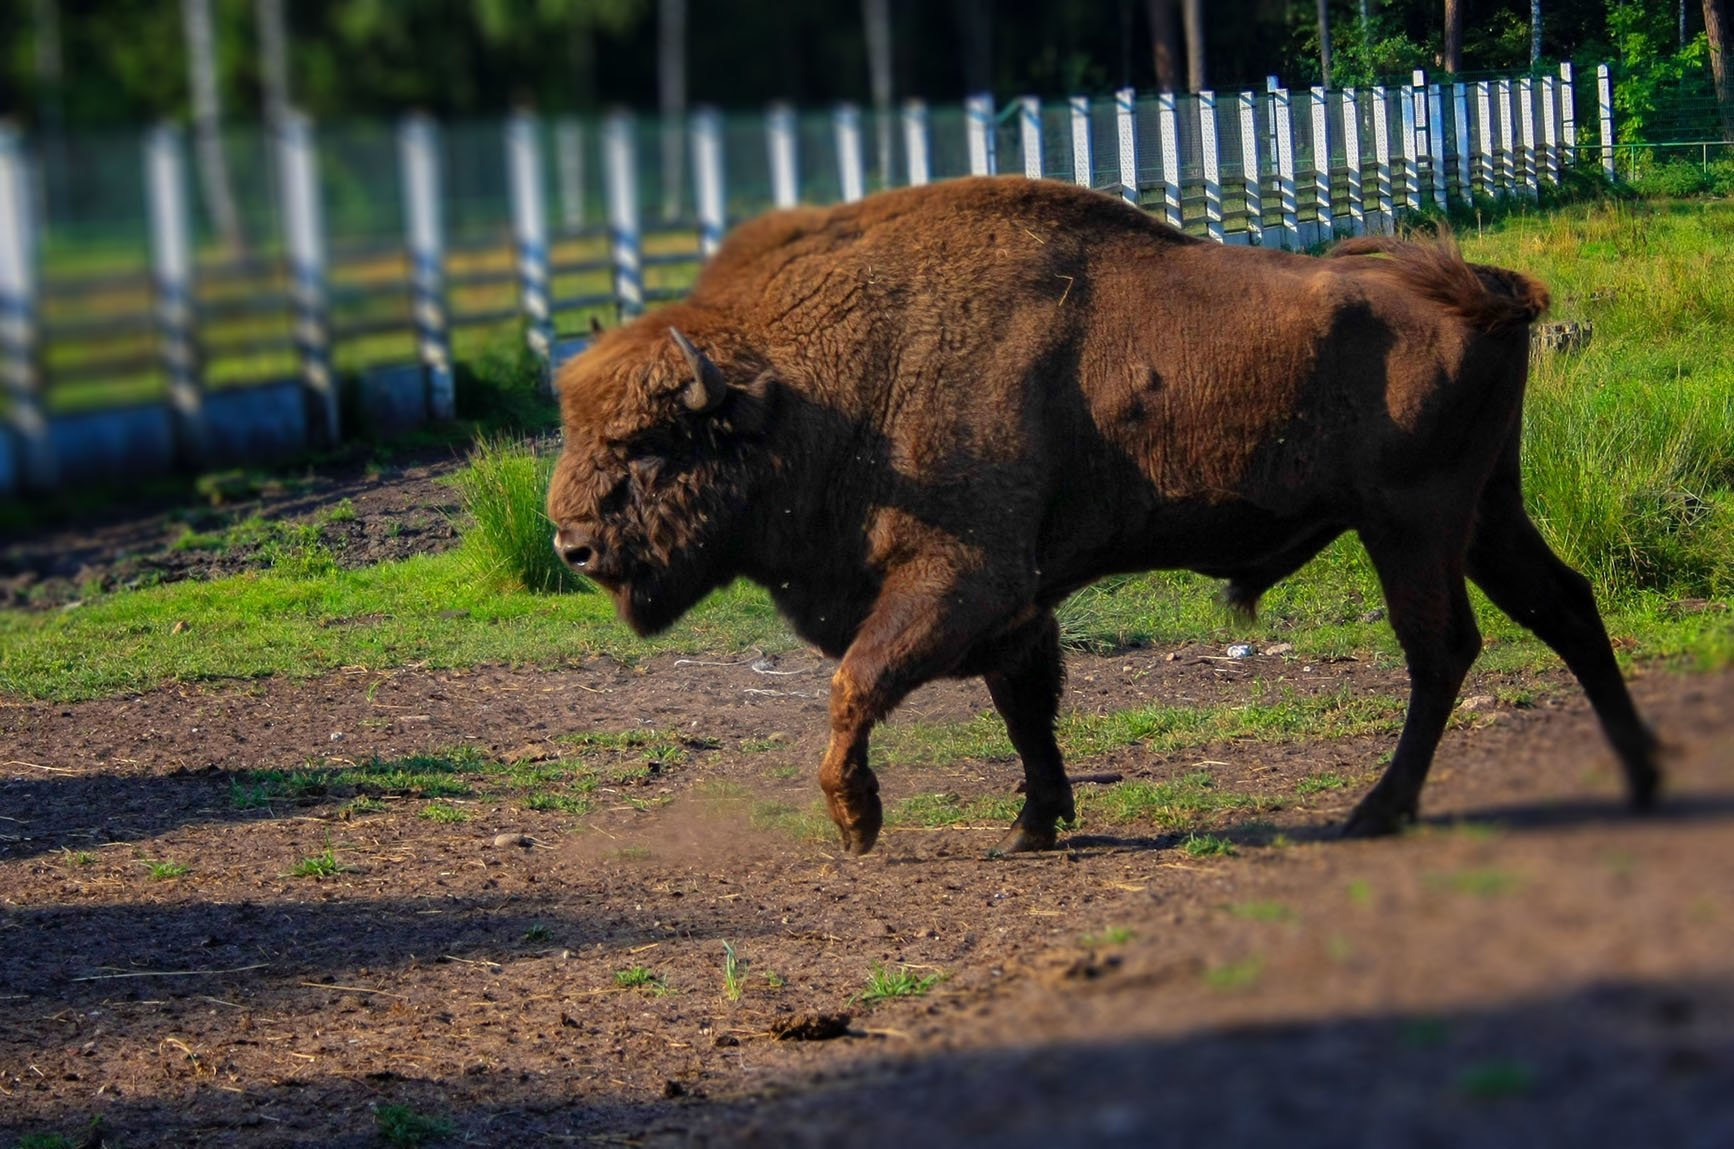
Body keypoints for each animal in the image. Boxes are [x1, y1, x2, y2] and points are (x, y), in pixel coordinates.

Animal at [547, 177, 1657, 852]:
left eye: (651, 444)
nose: (571, 544)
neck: (806, 387)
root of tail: (1486, 289)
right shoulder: (1015, 605)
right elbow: (1023, 706)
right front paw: (1035, 824)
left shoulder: (962, 577)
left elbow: (857, 683)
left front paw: (858, 821)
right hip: (1488, 514)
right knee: (1564, 606)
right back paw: (1642, 778)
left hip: (1413, 527)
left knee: (1441, 651)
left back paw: (1375, 812)